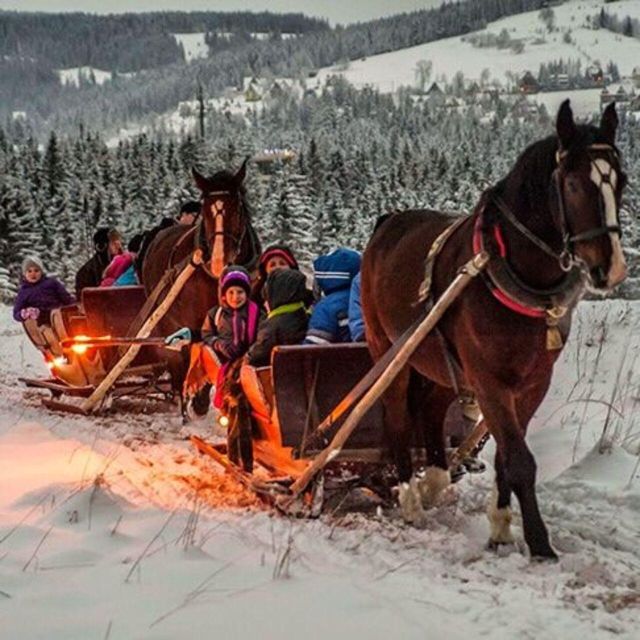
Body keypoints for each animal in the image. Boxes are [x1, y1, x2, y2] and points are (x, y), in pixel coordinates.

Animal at [142, 164, 260, 416]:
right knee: (179, 357)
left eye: (238, 210)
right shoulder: (197, 320)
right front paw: (200, 400)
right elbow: (204, 349)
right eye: (205, 212)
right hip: (165, 316)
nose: (219, 261)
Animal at [362, 101, 628, 560]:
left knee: (430, 409)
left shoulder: (533, 381)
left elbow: (507, 454)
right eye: (574, 184)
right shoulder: (489, 381)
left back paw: (434, 480)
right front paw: (538, 542)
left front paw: (501, 526)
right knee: (396, 416)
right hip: (390, 351)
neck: (513, 272)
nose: (609, 269)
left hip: (440, 361)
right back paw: (410, 499)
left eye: (622, 181)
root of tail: (388, 223)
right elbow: (520, 460)